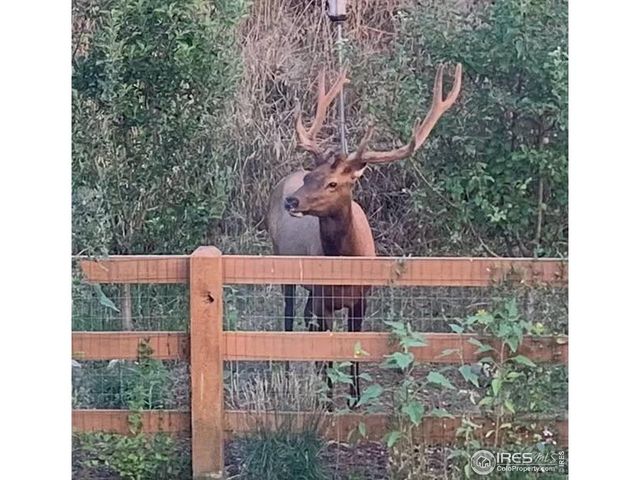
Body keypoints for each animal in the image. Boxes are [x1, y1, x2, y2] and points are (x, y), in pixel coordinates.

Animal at [266, 63, 462, 404]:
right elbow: (330, 349)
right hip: (285, 266)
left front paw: (354, 398)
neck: (347, 264)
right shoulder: (324, 299)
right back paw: (290, 374)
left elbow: (354, 347)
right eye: (310, 176)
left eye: (333, 183)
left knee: (304, 318)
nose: (292, 201)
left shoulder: (362, 299)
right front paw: (329, 401)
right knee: (290, 319)